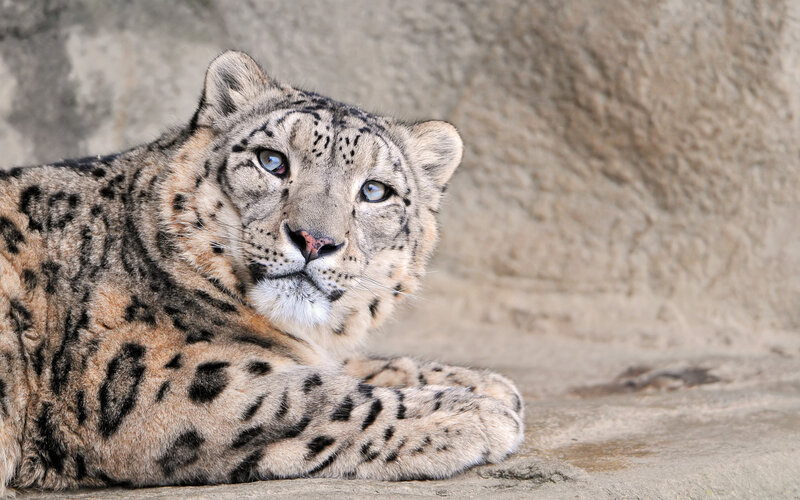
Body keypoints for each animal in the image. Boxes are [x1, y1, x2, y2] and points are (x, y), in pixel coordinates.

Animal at [0, 51, 523, 493]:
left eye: (375, 191)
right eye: (272, 161)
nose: (314, 240)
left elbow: (352, 367)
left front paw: (483, 383)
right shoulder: (158, 381)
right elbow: (316, 397)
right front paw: (474, 412)